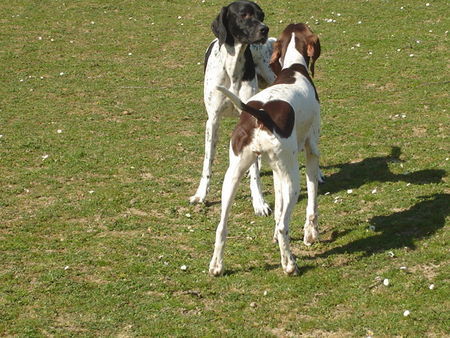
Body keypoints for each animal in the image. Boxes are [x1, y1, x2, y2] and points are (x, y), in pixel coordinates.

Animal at [189, 0, 274, 217]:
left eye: (261, 15)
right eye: (243, 15)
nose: (264, 29)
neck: (233, 67)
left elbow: (255, 173)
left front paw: (259, 202)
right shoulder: (212, 121)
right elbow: (208, 161)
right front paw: (201, 194)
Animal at [209, 24, 322, 278]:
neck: (294, 68)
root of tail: (258, 114)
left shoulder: (278, 171)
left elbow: (278, 208)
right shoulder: (311, 152)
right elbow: (311, 201)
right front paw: (310, 234)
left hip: (233, 175)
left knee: (221, 226)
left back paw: (216, 266)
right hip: (292, 179)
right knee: (283, 226)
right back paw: (289, 264)